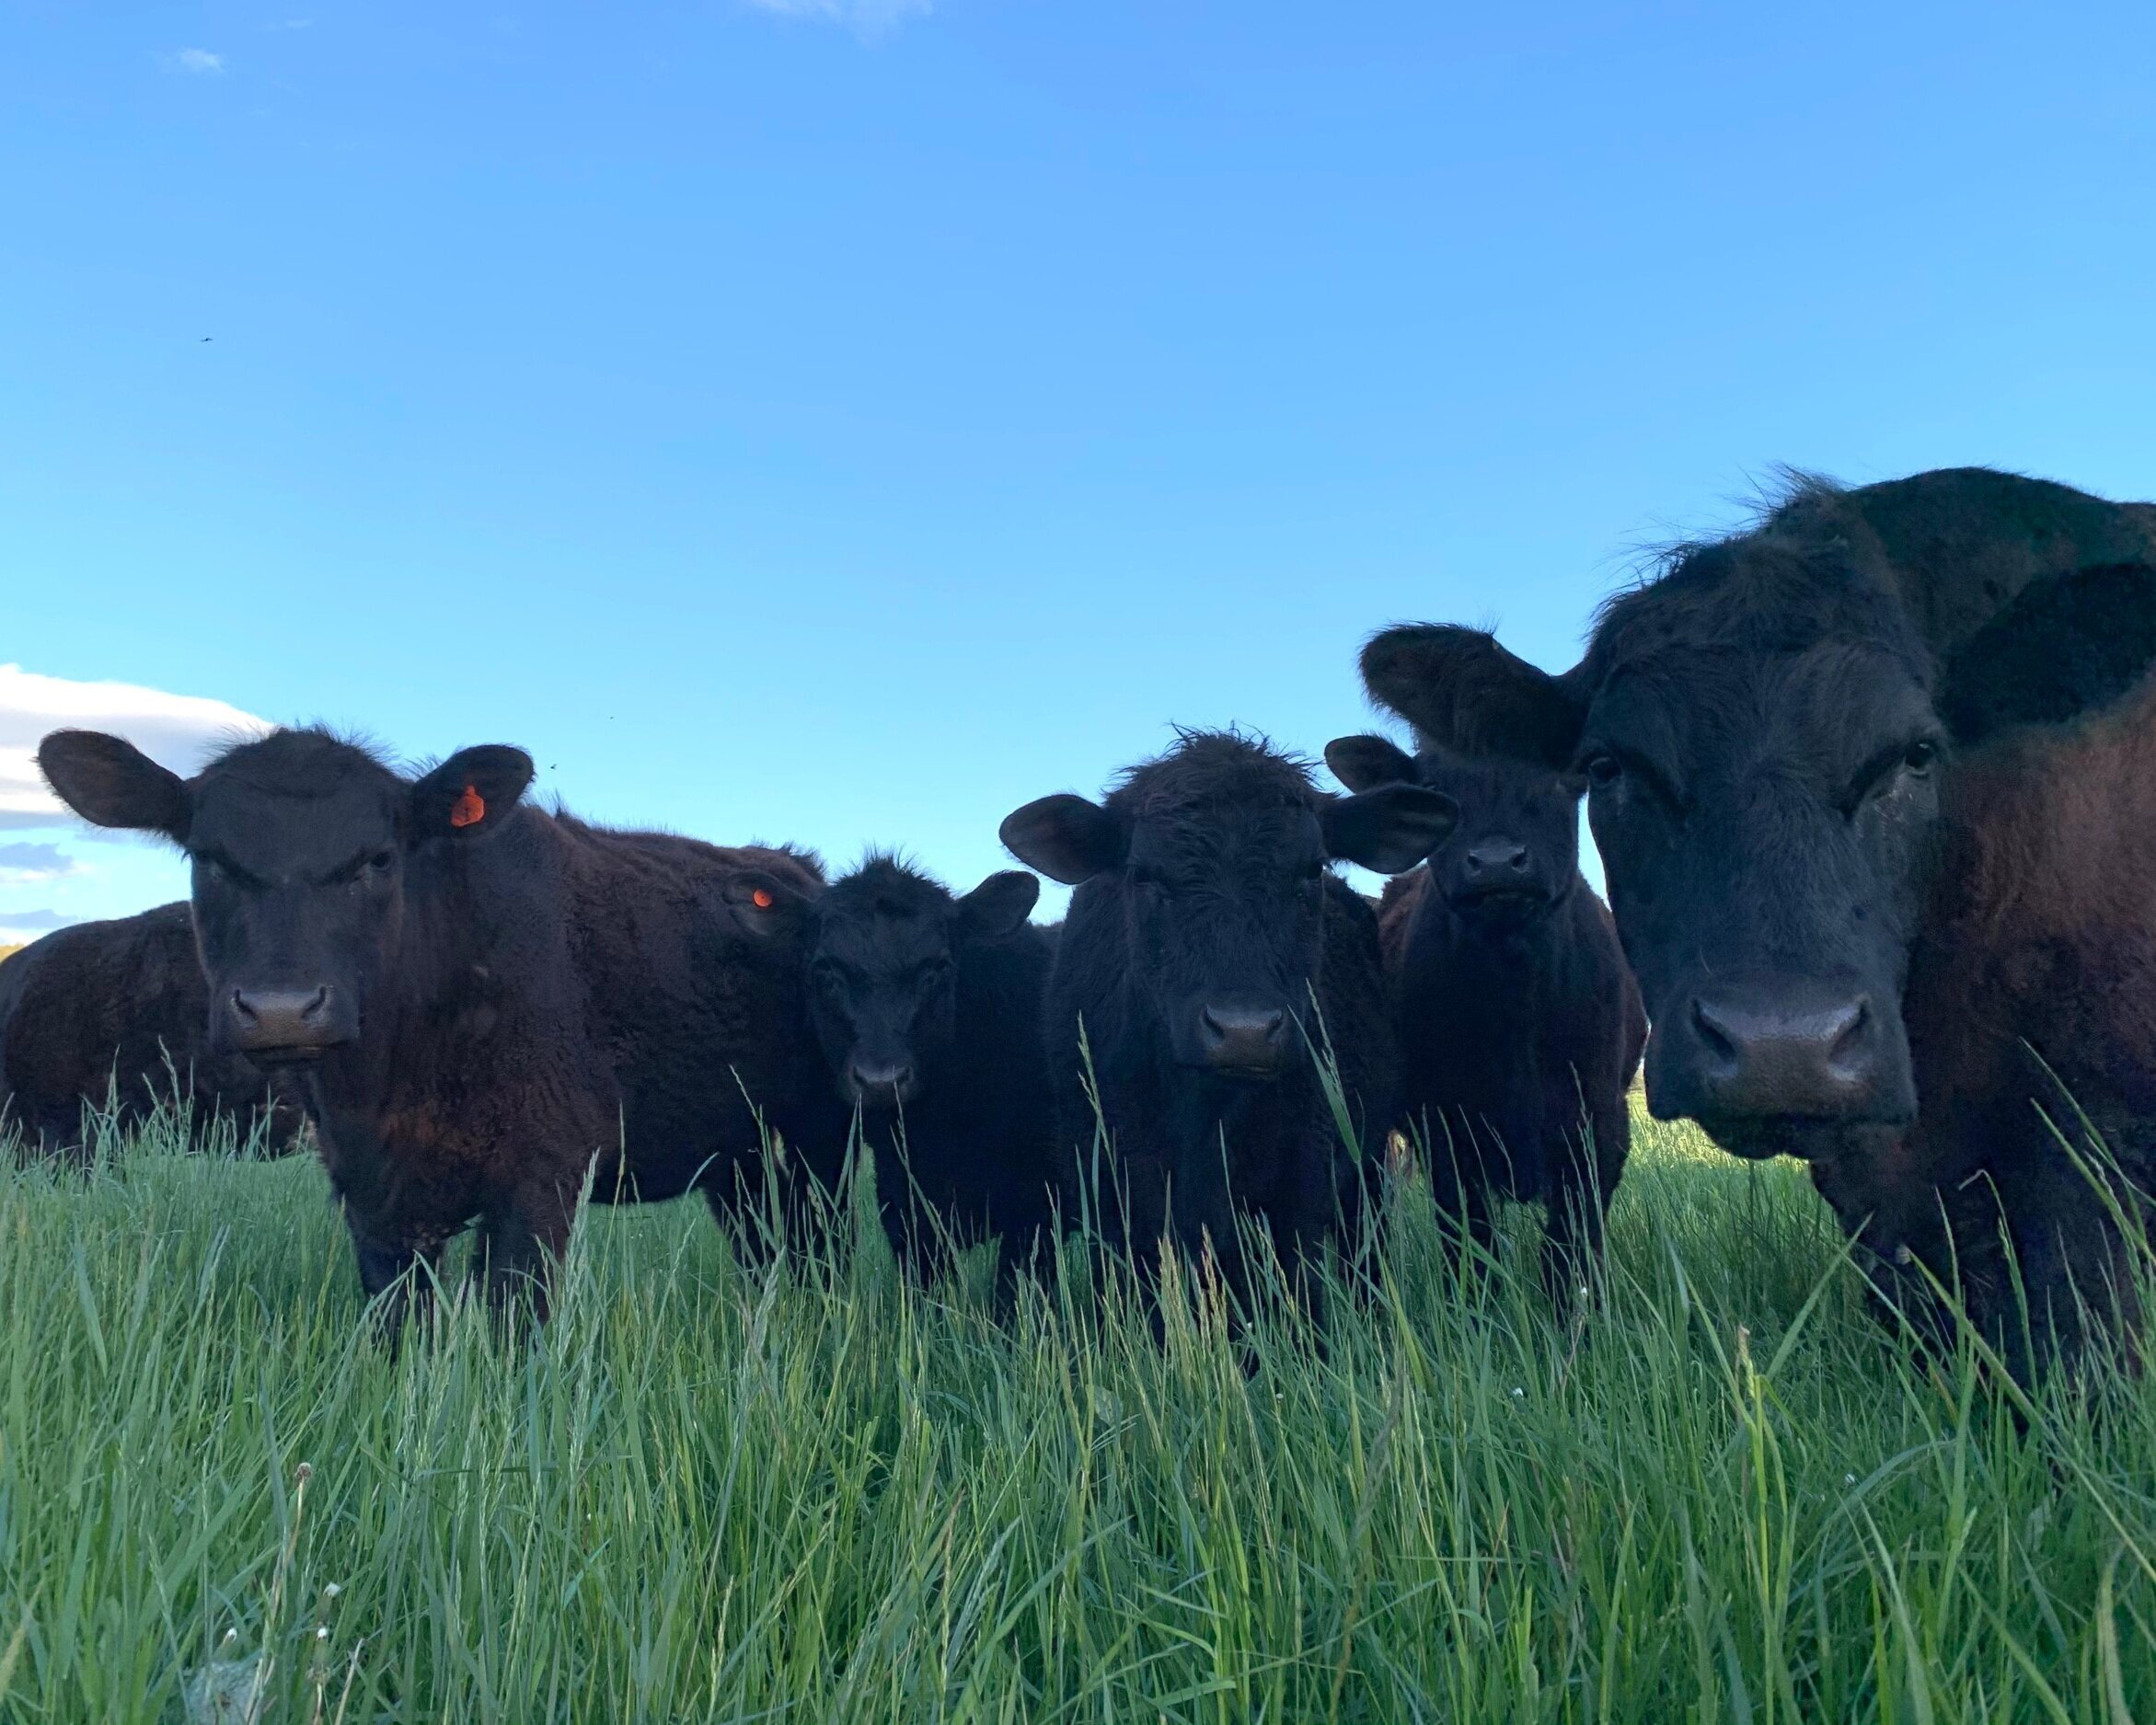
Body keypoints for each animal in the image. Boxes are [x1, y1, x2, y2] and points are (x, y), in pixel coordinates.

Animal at [36, 726, 843, 1322]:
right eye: (210, 859)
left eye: (377, 858)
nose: (280, 1008)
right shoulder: (370, 1194)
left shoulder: (542, 1175)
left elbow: (515, 1331)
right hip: (736, 1157)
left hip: (813, 1143)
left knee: (819, 1249)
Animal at [998, 730, 1453, 1325]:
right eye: (1142, 874)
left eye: (1312, 870)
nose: (1245, 1031)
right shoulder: (1113, 1190)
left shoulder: (1302, 1184)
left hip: (1370, 1167)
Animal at [1325, 734, 1645, 1297]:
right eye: (1436, 789)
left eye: (1559, 776)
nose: (1497, 862)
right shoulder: (1447, 1134)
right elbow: (1472, 1250)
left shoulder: (1601, 1128)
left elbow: (1570, 1258)